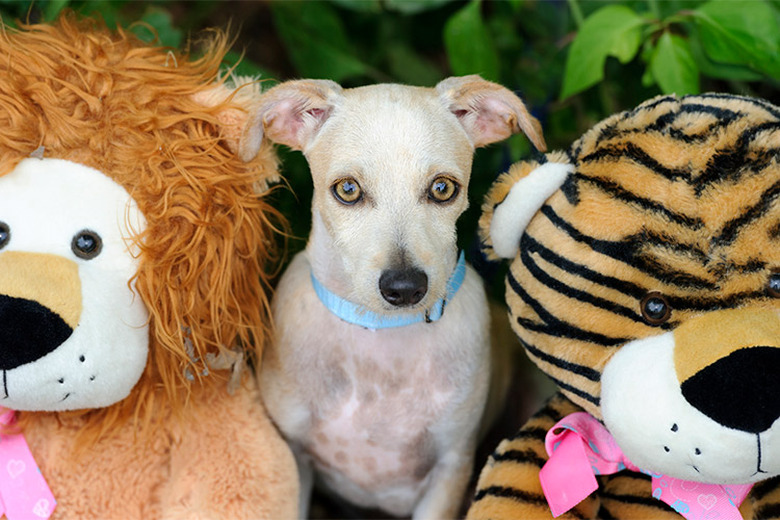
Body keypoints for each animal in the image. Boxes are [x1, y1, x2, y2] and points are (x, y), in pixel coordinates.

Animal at [253, 75, 544, 516]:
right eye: (347, 189)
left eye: (442, 188)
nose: (405, 288)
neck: (382, 346)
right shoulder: (294, 459)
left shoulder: (450, 469)